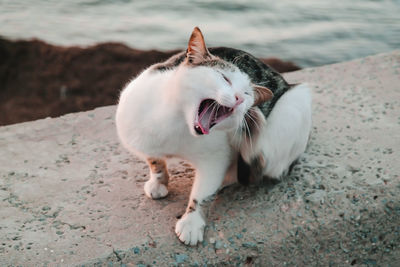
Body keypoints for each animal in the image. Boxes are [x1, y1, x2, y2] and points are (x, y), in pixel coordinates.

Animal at [114, 27, 310, 247]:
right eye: (224, 78)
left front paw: (192, 221)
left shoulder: (215, 158)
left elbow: (203, 192)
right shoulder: (140, 133)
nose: (240, 99)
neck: (178, 122)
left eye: (247, 94)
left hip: (297, 103)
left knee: (260, 167)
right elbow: (155, 162)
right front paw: (159, 181)